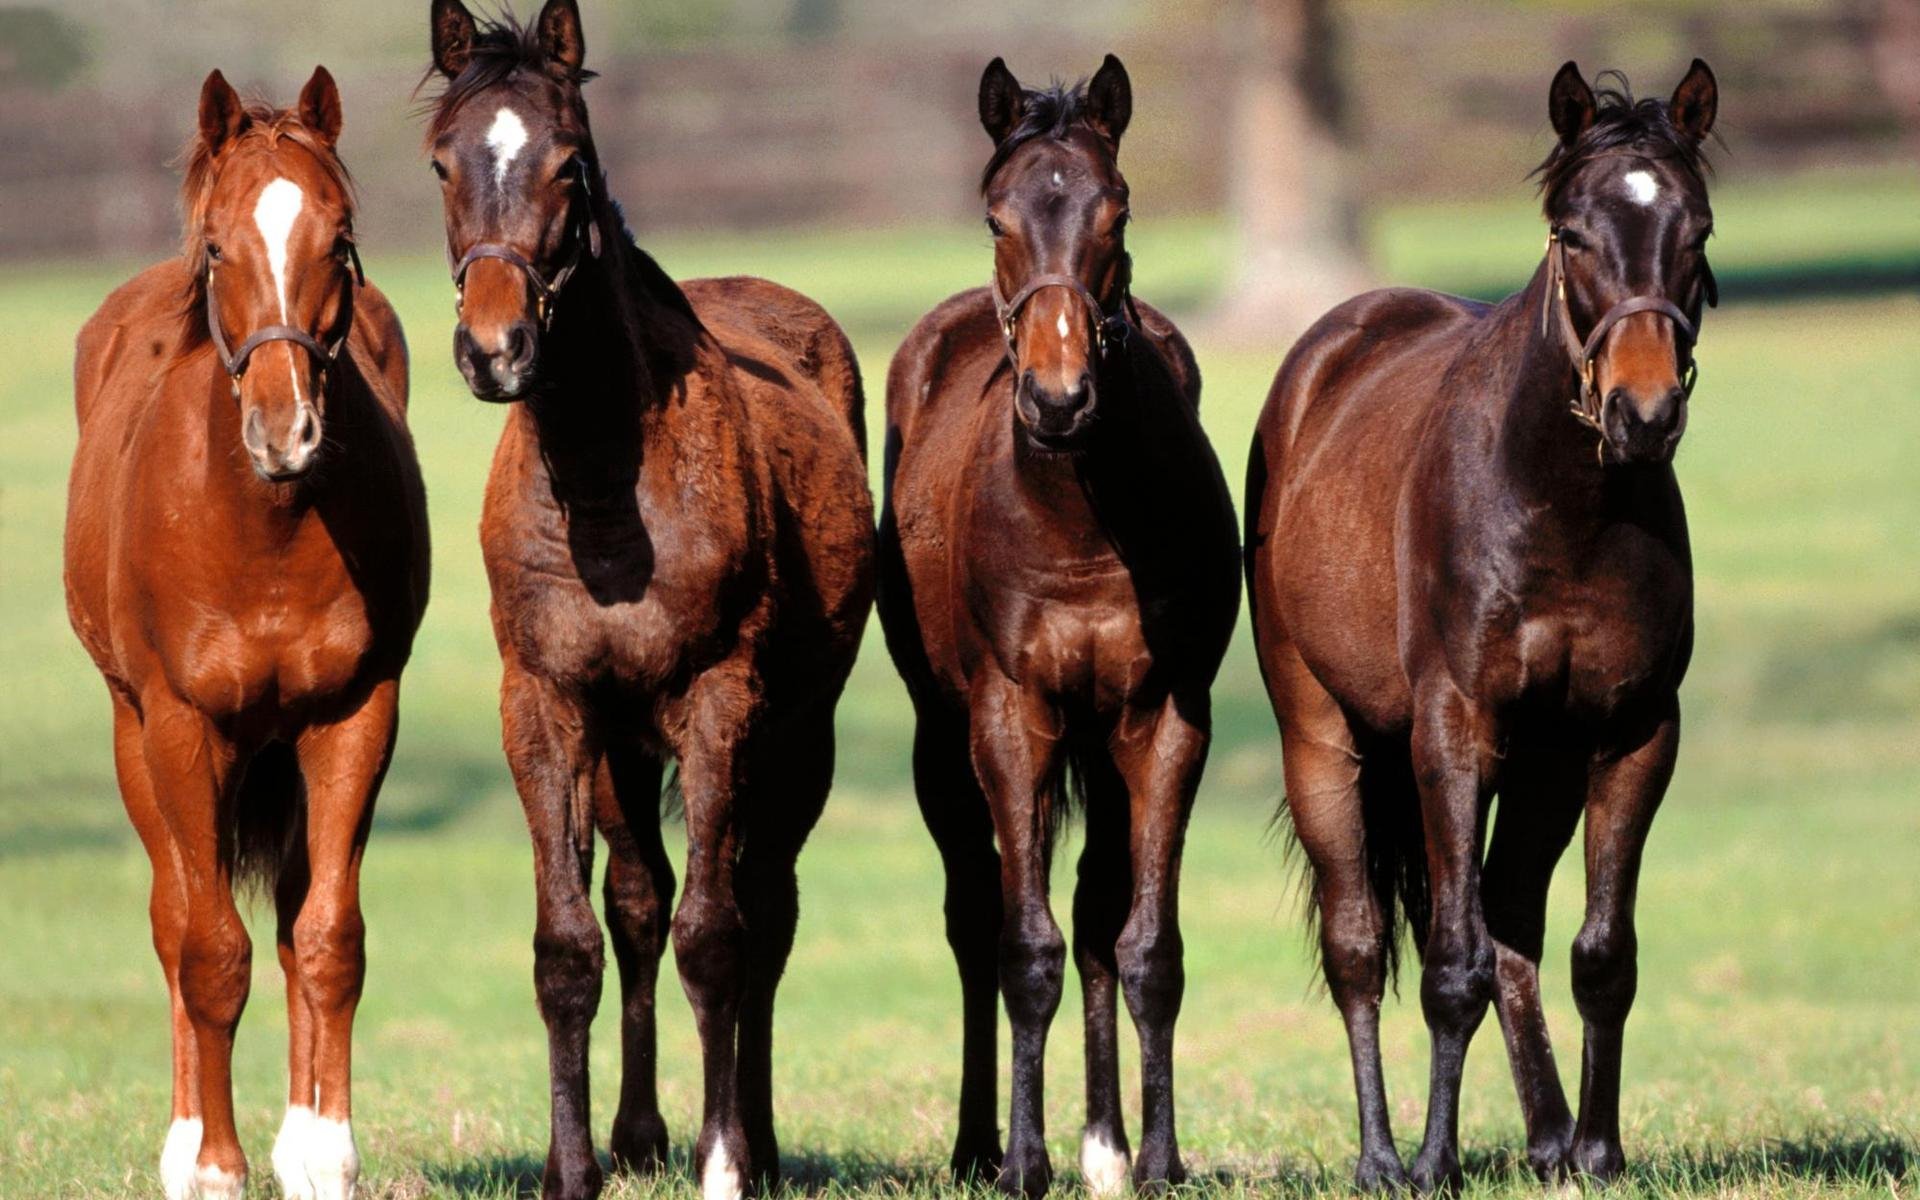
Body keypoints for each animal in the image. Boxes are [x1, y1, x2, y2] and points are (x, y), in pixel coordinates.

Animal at [64, 67, 428, 1200]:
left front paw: (322, 1152)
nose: (285, 431)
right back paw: (186, 1141)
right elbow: (206, 951)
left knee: (294, 919)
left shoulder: (355, 716)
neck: (261, 527)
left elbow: (328, 939)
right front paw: (216, 1166)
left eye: (340, 239)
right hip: (134, 735)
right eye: (219, 247)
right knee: (175, 916)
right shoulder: (184, 727)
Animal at [421, 3, 874, 1198]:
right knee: (636, 901)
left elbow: (716, 933)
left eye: (569, 163)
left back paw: (753, 1138)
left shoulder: (721, 702)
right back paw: (634, 1137)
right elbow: (570, 943)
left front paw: (723, 1161)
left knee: (764, 907)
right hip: (623, 748)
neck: (602, 489)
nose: (495, 350)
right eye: (442, 161)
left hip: (795, 736)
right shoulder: (546, 707)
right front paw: (571, 1167)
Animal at [878, 55, 1241, 1200]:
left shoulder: (1164, 719)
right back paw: (976, 1142)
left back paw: (1106, 1145)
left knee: (1094, 917)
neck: (1080, 514)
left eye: (1115, 210)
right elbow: (1020, 947)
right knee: (976, 916)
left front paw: (1156, 1159)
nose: (1057, 395)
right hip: (940, 740)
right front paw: (1022, 1163)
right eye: (996, 216)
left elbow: (1144, 945)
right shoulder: (1011, 718)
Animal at [1244, 60, 1719, 1191]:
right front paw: (1433, 1163)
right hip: (1322, 738)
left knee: (1511, 925)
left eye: (1698, 232)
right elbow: (1445, 965)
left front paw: (1598, 1153)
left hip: (1543, 767)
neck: (1564, 506)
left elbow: (1600, 954)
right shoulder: (1455, 731)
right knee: (1360, 944)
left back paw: (1548, 1139)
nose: (1643, 414)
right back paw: (1381, 1156)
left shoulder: (1633, 734)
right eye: (1571, 234)